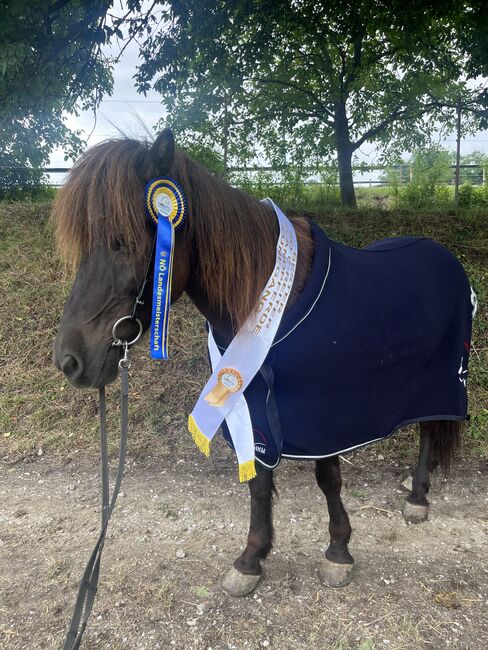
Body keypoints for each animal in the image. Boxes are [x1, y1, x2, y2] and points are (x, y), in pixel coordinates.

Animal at [52, 129, 466, 596]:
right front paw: (252, 558)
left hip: (441, 379)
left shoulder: (323, 417)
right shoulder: (249, 401)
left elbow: (328, 480)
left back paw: (418, 497)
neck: (269, 300)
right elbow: (259, 482)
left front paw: (338, 551)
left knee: (431, 427)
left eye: (122, 241)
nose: (69, 360)